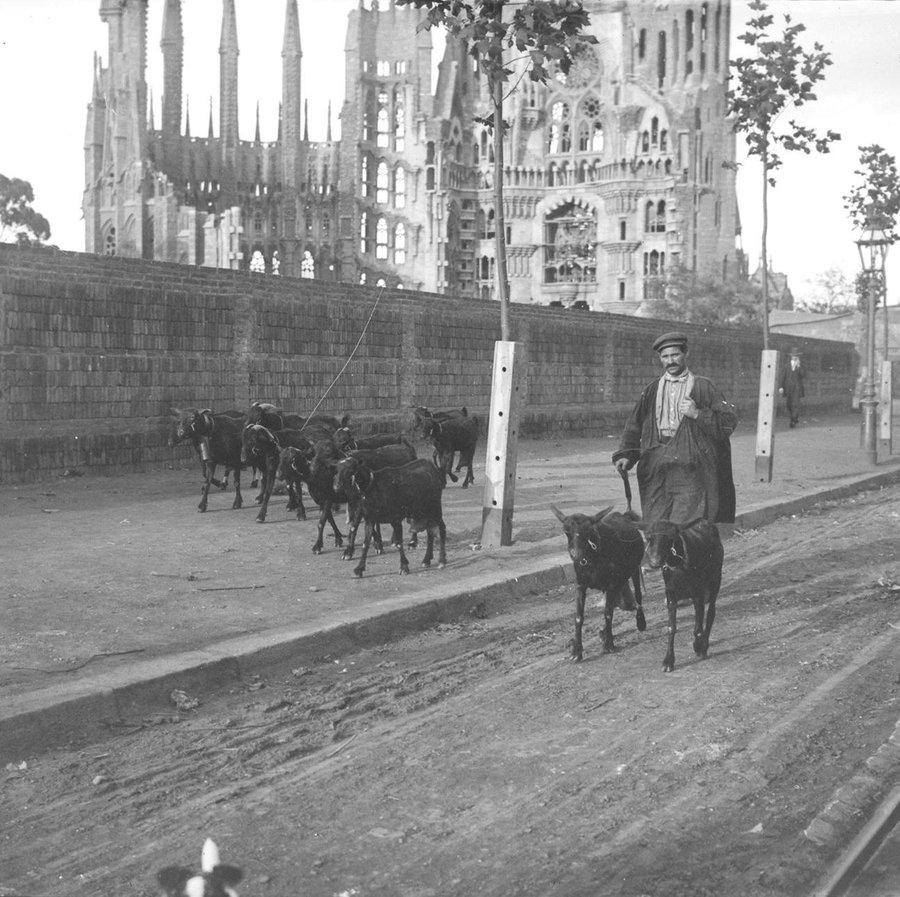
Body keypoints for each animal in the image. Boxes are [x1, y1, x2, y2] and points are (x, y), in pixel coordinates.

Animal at [552, 504, 644, 656]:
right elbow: (579, 617)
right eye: (566, 531)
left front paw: (609, 644)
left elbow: (608, 614)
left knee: (637, 596)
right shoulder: (581, 585)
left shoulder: (611, 585)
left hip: (635, 569)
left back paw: (641, 621)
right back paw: (604, 633)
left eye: (588, 530)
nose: (576, 555)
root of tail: (624, 515)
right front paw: (576, 650)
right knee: (622, 602)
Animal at [648, 520, 724, 672]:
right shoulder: (670, 595)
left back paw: (704, 645)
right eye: (650, 538)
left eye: (669, 538)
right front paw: (668, 661)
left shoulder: (698, 594)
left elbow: (697, 628)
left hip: (715, 582)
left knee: (711, 613)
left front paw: (699, 647)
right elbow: (671, 628)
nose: (654, 562)